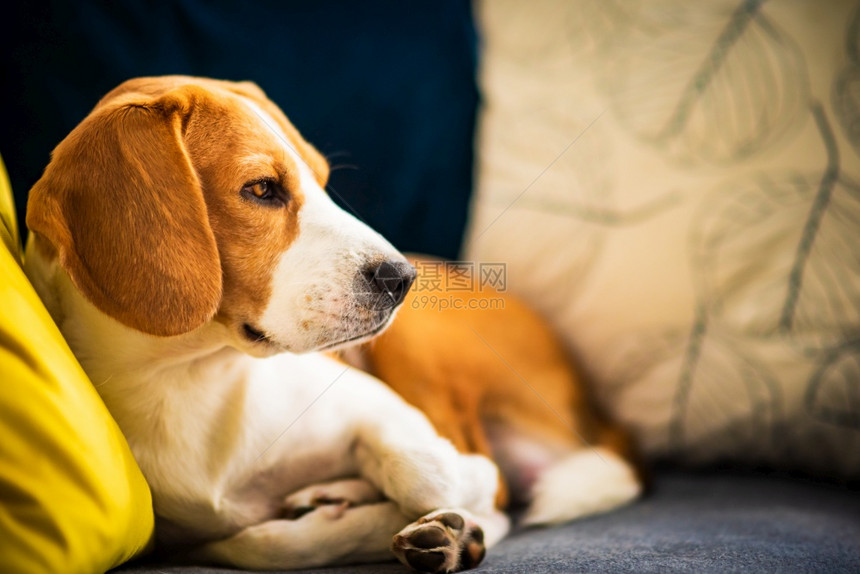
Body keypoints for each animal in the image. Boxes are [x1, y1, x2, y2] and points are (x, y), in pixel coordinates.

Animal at [23, 77, 504, 574]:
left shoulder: (377, 404)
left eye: (322, 182)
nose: (403, 278)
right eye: (261, 188)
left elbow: (432, 474)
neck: (186, 380)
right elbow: (264, 545)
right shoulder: (188, 542)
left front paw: (466, 500)